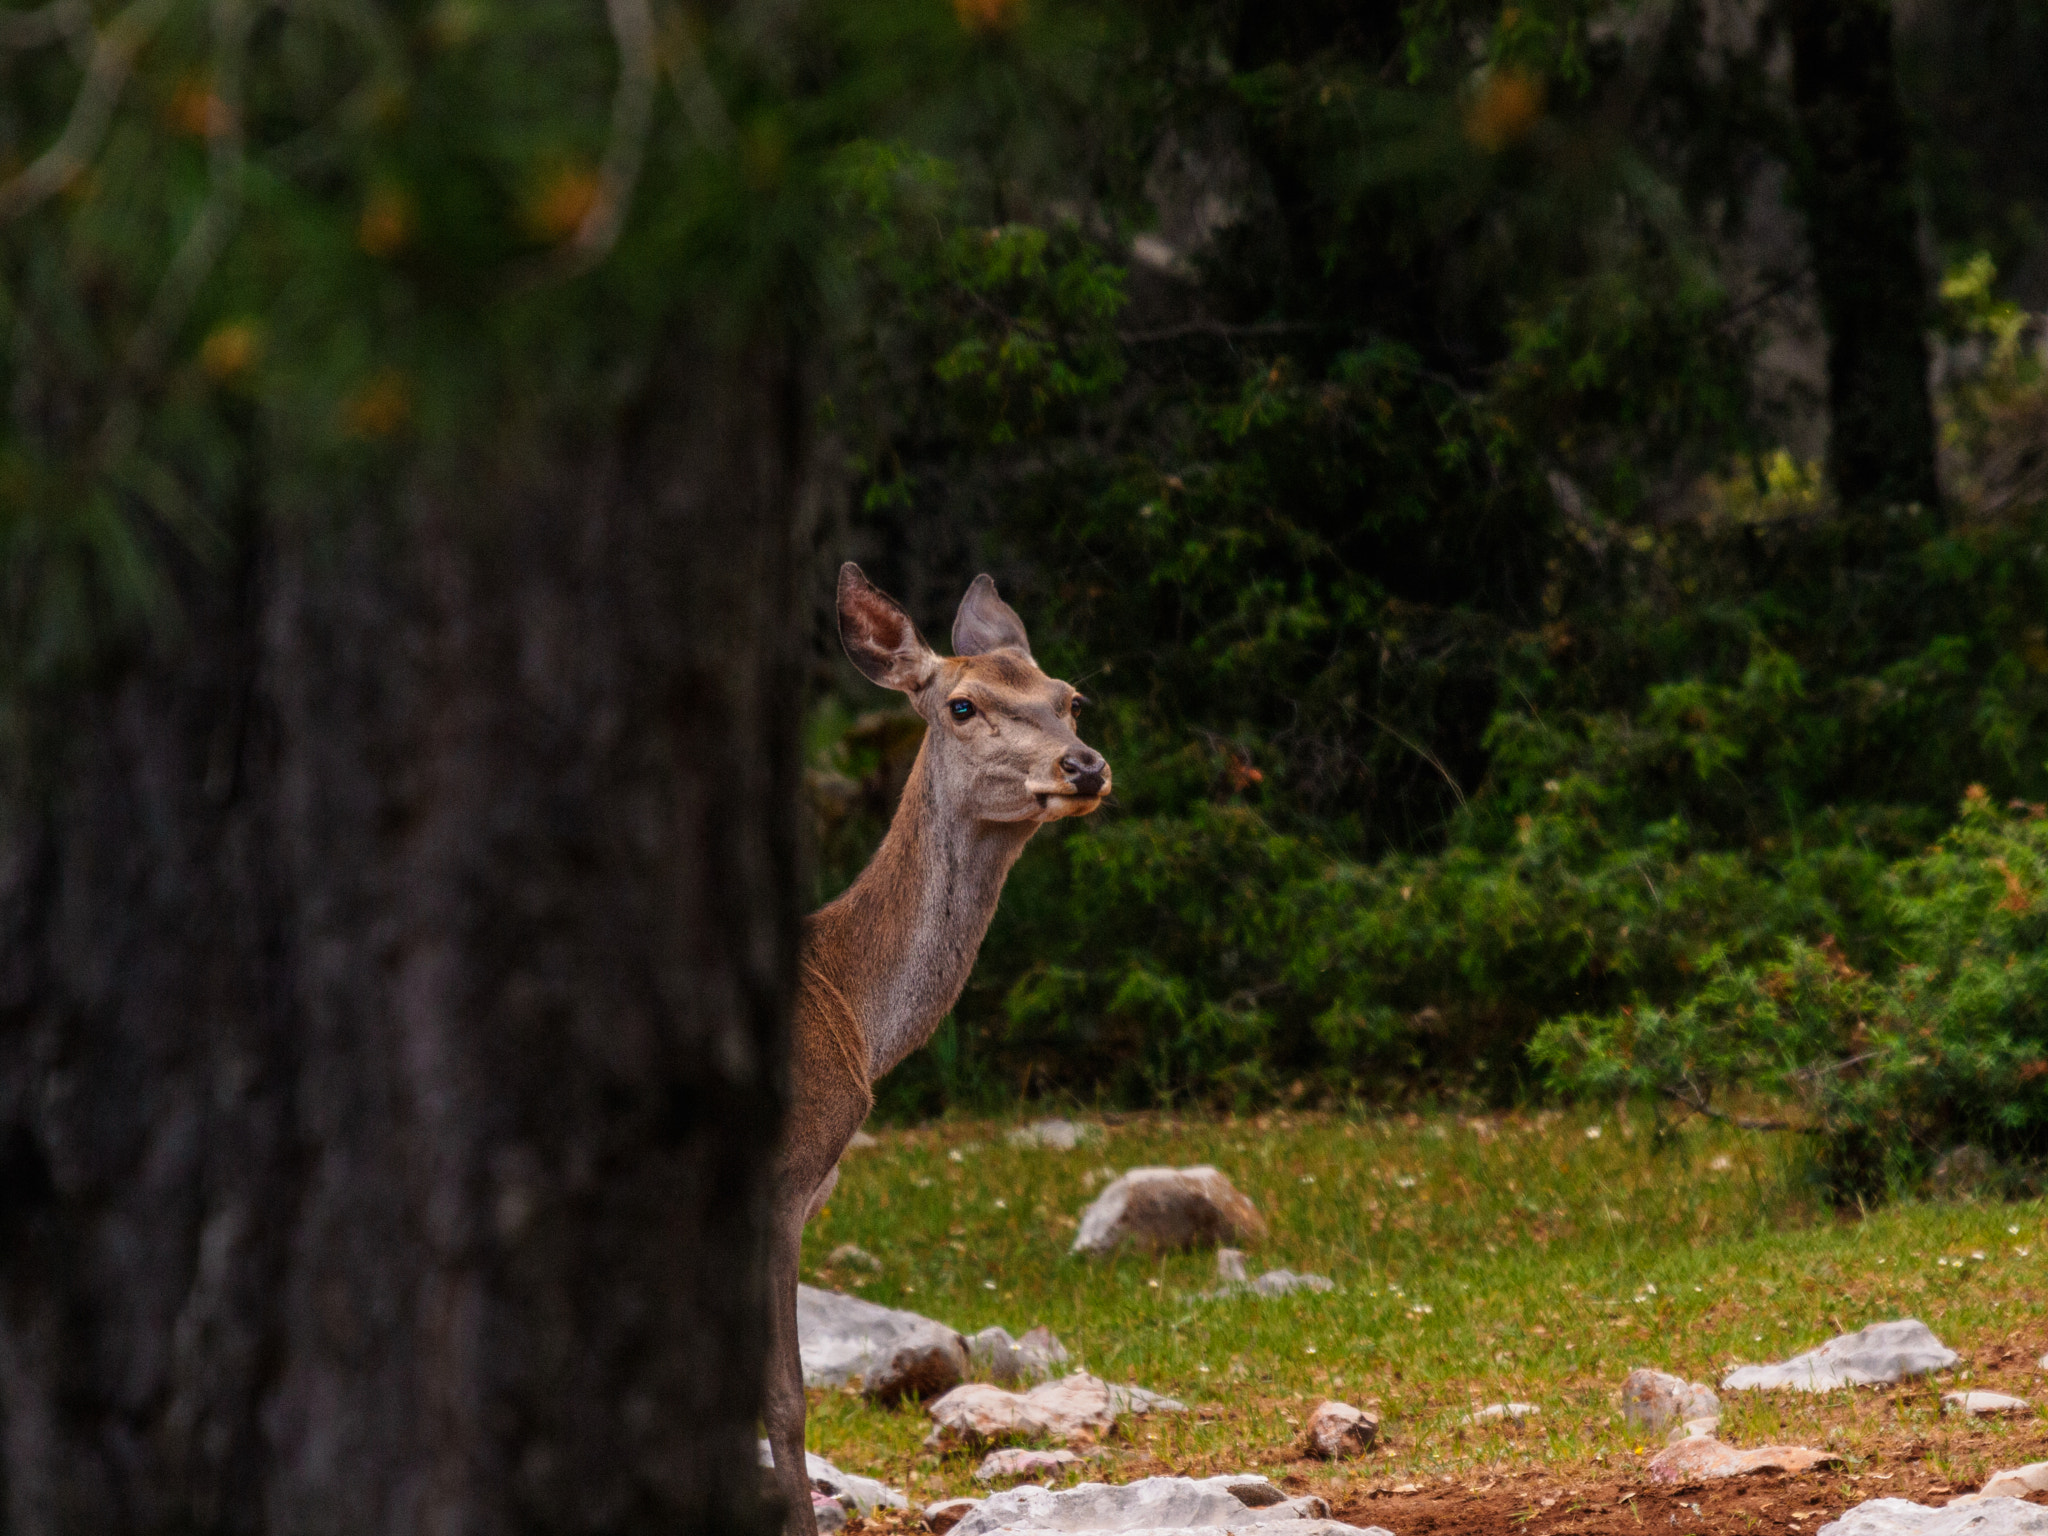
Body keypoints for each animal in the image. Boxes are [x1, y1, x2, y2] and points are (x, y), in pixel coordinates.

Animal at [765, 565, 1114, 1536]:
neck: (852, 1009)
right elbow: (785, 1398)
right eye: (962, 705)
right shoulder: (784, 1179)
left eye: (1071, 699)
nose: (1085, 765)